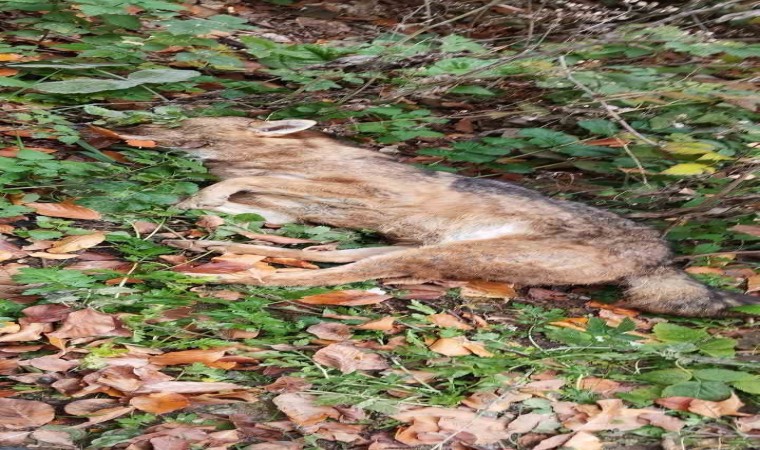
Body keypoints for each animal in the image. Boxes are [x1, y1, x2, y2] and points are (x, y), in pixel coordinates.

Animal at [119, 118, 756, 318]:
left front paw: (195, 206)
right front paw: (208, 215)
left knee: (329, 273)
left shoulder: (349, 190)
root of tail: (665, 254)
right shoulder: (298, 199)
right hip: (421, 248)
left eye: (184, 123)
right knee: (331, 255)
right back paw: (237, 249)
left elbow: (220, 185)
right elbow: (229, 194)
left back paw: (220, 272)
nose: (135, 129)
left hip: (446, 253)